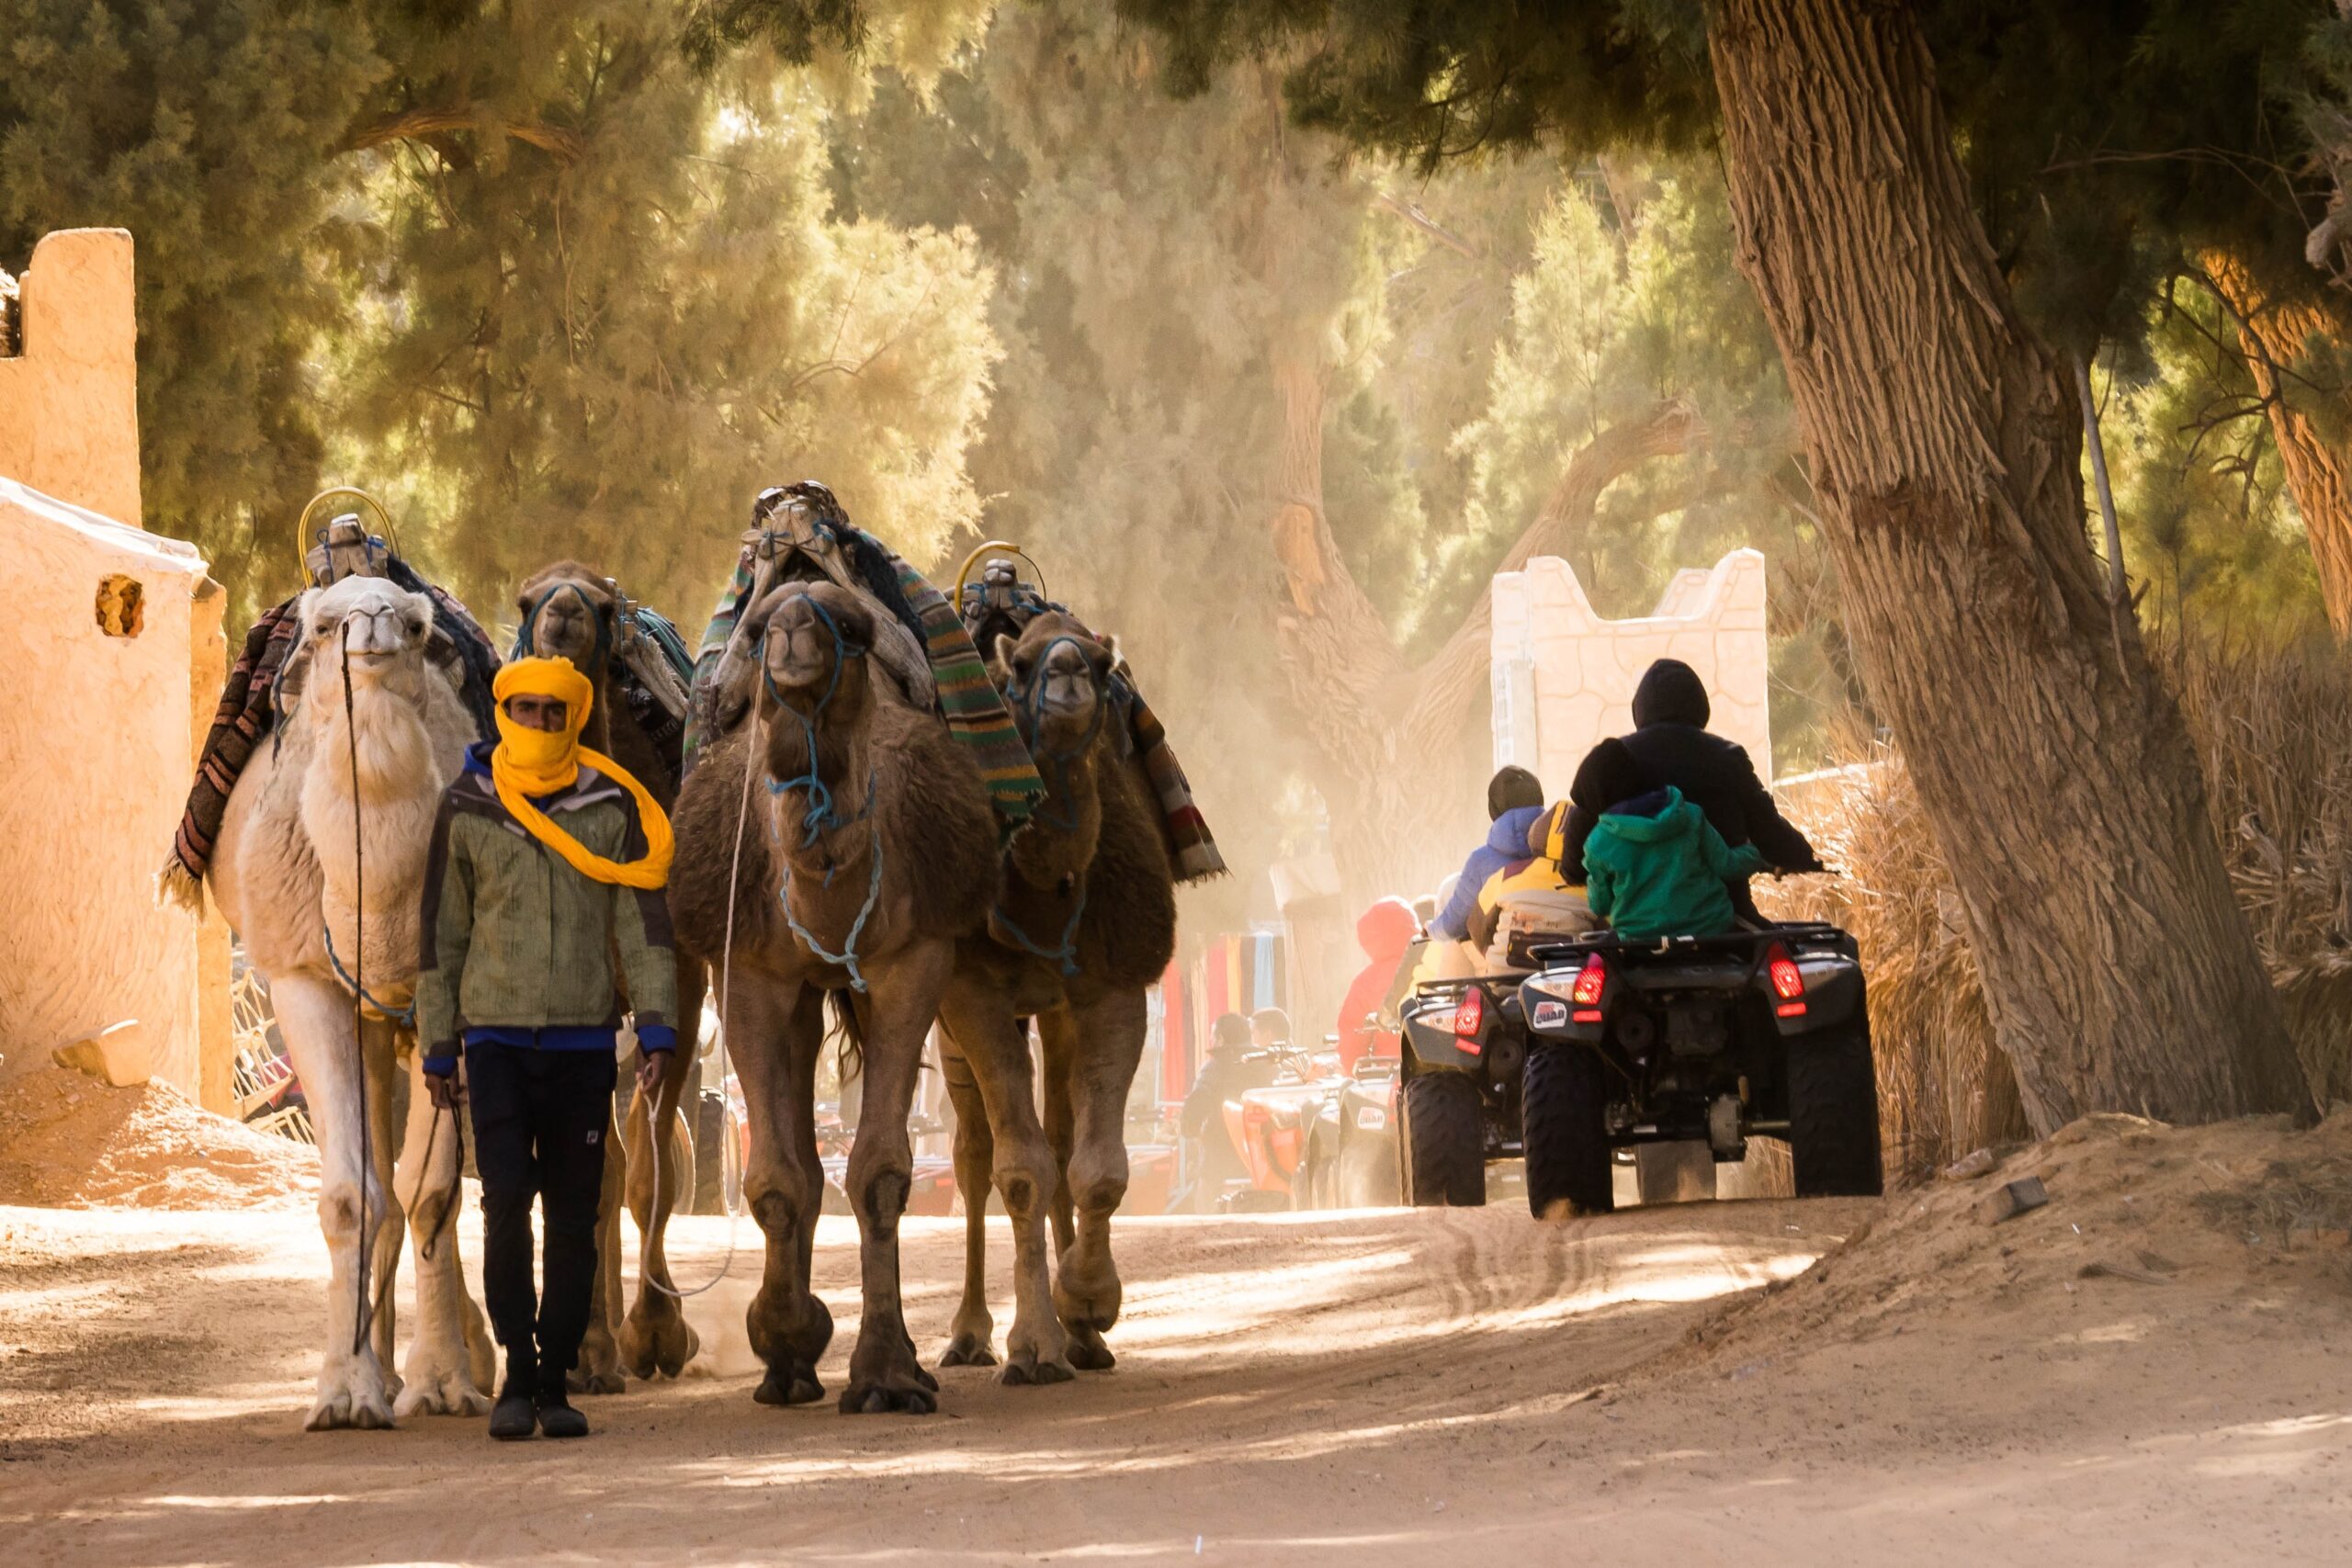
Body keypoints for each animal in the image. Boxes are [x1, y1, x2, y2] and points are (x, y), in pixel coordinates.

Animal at [203, 581, 496, 1438]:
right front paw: (344, 1392)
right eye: (324, 623)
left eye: (417, 623)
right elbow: (348, 1197)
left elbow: (433, 1191)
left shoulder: (450, 997)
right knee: (379, 1189)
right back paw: (387, 1367)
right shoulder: (304, 978)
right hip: (362, 1023)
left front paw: (445, 1382)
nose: (369, 625)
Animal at [668, 582, 997, 1419]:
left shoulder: (913, 960)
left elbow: (880, 1169)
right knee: (804, 1160)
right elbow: (775, 1179)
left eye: (847, 624)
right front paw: (786, 1343)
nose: (791, 628)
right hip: (798, 996)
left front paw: (884, 1372)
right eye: (759, 629)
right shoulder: (748, 971)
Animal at [931, 620, 1176, 1382]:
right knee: (971, 1154)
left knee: (1061, 1132)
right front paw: (1032, 1345)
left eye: (1099, 663)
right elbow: (1018, 1171)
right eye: (1022, 668)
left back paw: (1082, 1338)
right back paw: (968, 1333)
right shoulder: (970, 992)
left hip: (1054, 1011)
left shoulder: (1114, 984)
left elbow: (1095, 1167)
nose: (1067, 671)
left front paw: (1088, 1301)